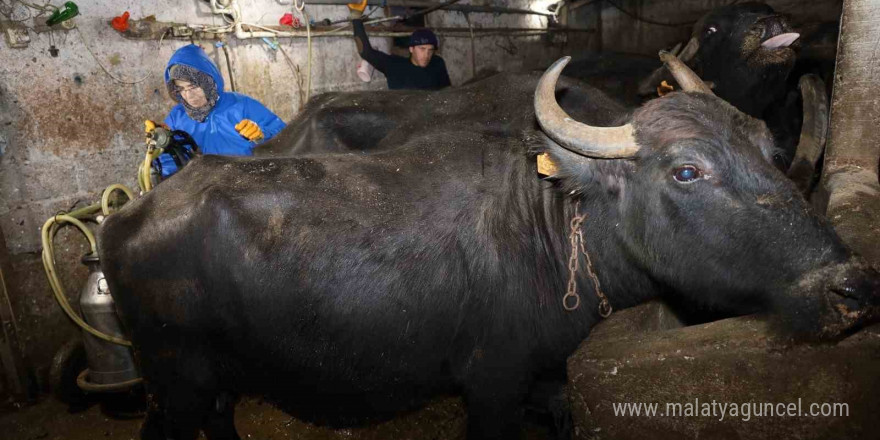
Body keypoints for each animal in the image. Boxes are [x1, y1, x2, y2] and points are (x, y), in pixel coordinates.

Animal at [98, 56, 880, 438]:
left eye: (767, 146)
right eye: (687, 171)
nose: (850, 287)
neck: (553, 229)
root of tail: (126, 217)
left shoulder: (553, 375)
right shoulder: (493, 385)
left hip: (214, 379)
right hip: (176, 379)